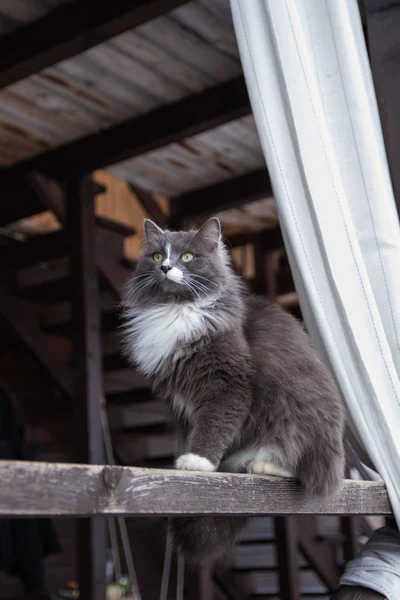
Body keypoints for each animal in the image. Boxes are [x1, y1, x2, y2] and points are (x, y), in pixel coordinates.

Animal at [121, 219, 344, 564]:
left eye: (187, 257)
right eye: (157, 256)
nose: (166, 267)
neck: (176, 309)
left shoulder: (229, 384)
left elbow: (214, 424)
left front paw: (198, 462)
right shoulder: (181, 401)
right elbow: (192, 431)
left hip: (294, 417)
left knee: (304, 470)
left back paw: (264, 465)